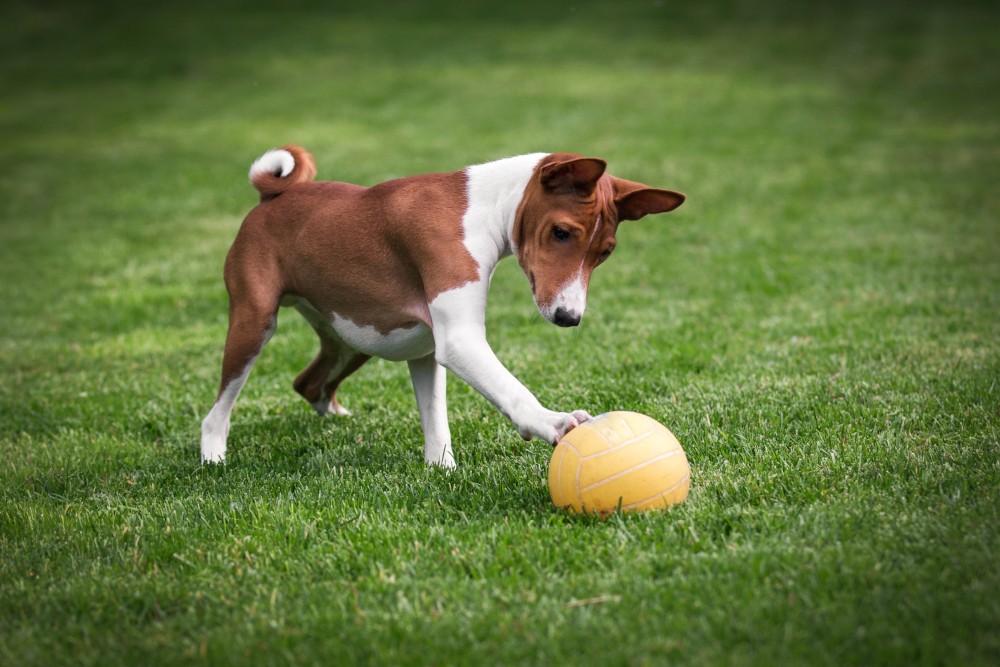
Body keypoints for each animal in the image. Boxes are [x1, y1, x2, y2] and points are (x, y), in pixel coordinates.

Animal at [203, 146, 688, 468]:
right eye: (562, 233)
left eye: (604, 253)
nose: (569, 318)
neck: (481, 211)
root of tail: (271, 200)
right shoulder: (458, 341)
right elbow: (513, 390)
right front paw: (553, 423)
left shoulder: (425, 348)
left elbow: (436, 422)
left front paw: (441, 471)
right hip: (254, 324)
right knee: (215, 415)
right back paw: (214, 460)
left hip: (353, 338)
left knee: (309, 383)